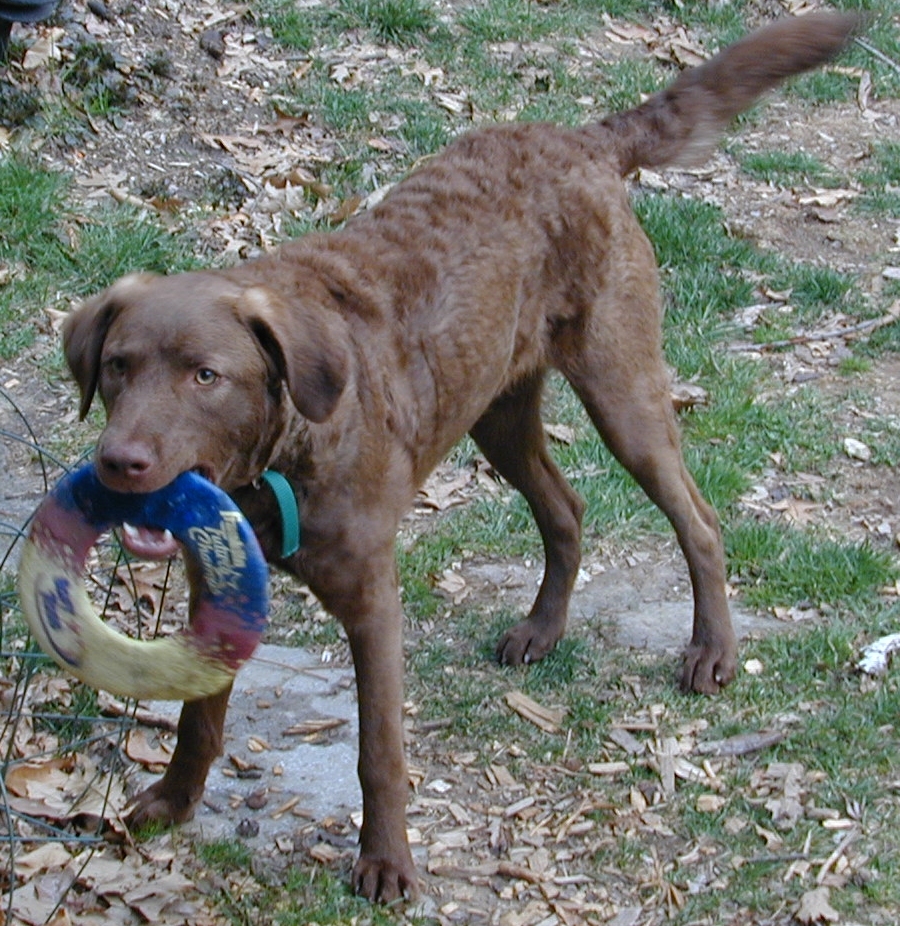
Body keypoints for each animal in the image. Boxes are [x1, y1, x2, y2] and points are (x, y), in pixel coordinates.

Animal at [63, 12, 856, 900]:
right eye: (118, 366)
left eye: (206, 376)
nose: (119, 461)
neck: (281, 458)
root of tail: (582, 136)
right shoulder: (222, 587)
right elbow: (199, 718)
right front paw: (171, 803)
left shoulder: (374, 601)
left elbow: (379, 750)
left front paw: (385, 863)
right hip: (498, 412)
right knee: (566, 509)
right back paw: (542, 630)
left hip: (623, 391)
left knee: (699, 517)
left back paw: (712, 651)